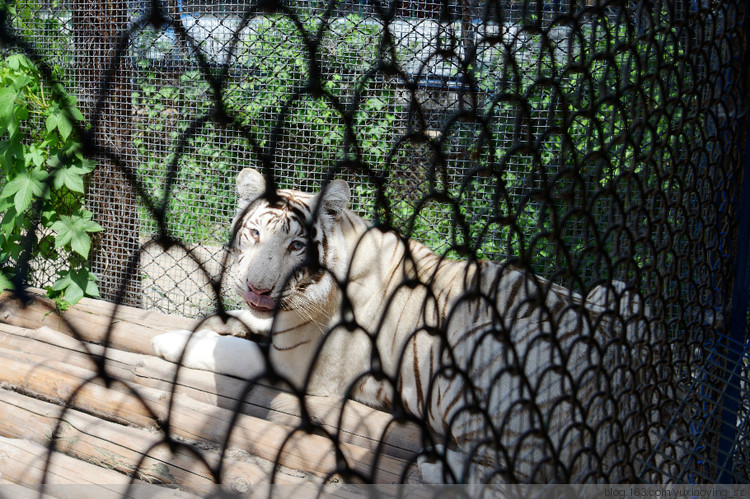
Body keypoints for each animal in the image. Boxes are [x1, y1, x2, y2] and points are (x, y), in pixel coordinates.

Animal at [151, 169, 688, 484]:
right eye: (253, 234)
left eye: (297, 246)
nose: (257, 288)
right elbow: (239, 324)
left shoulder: (296, 365)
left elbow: (224, 349)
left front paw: (168, 340)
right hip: (619, 291)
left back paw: (434, 469)